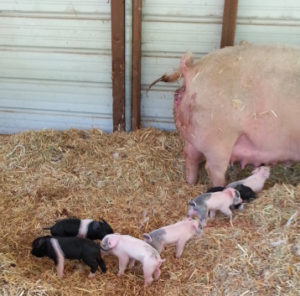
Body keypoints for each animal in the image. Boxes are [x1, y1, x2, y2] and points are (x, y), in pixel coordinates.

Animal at [149, 44, 300, 186]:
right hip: (219, 139)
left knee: (190, 155)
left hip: (193, 134)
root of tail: (192, 70)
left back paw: (191, 183)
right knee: (213, 169)